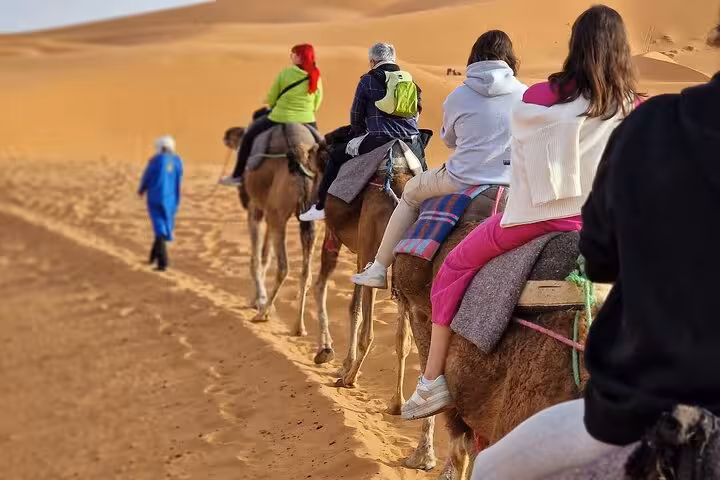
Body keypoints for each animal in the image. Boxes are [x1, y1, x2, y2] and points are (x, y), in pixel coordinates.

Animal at [223, 125, 319, 336]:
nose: (225, 136)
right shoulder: (268, 212)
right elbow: (265, 256)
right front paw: (259, 299)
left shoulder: (256, 210)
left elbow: (256, 258)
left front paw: (257, 300)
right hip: (308, 218)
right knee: (306, 272)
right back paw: (300, 327)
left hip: (277, 216)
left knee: (283, 267)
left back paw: (262, 314)